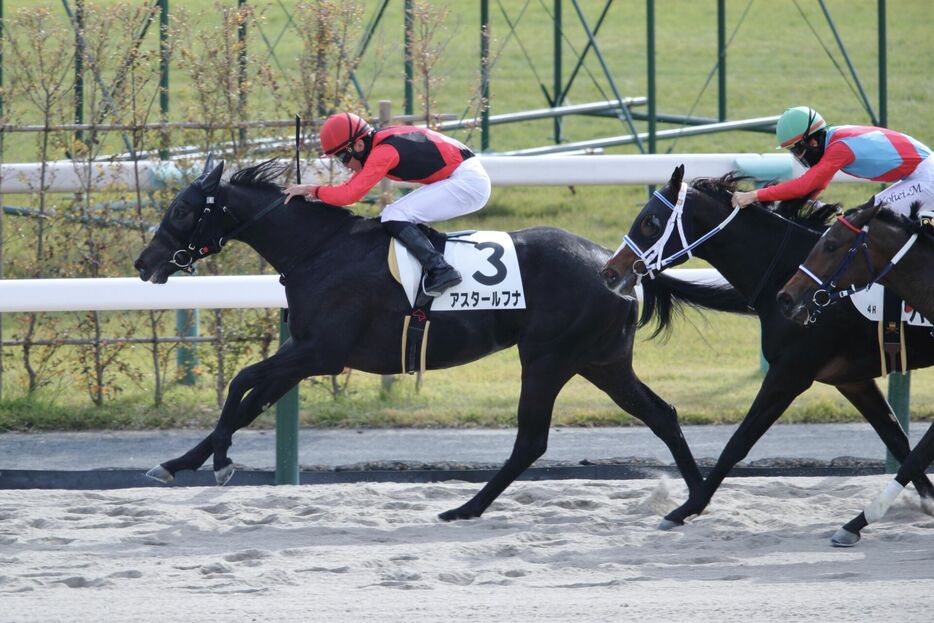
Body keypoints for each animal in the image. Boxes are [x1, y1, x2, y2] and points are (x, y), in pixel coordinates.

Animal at [133, 158, 752, 520]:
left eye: (182, 210)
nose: (144, 263)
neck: (320, 251)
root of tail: (618, 263)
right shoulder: (306, 354)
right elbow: (250, 397)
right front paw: (187, 460)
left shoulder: (321, 353)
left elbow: (242, 383)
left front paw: (212, 459)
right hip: (603, 361)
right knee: (662, 414)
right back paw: (693, 501)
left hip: (549, 357)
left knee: (532, 440)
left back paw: (466, 508)